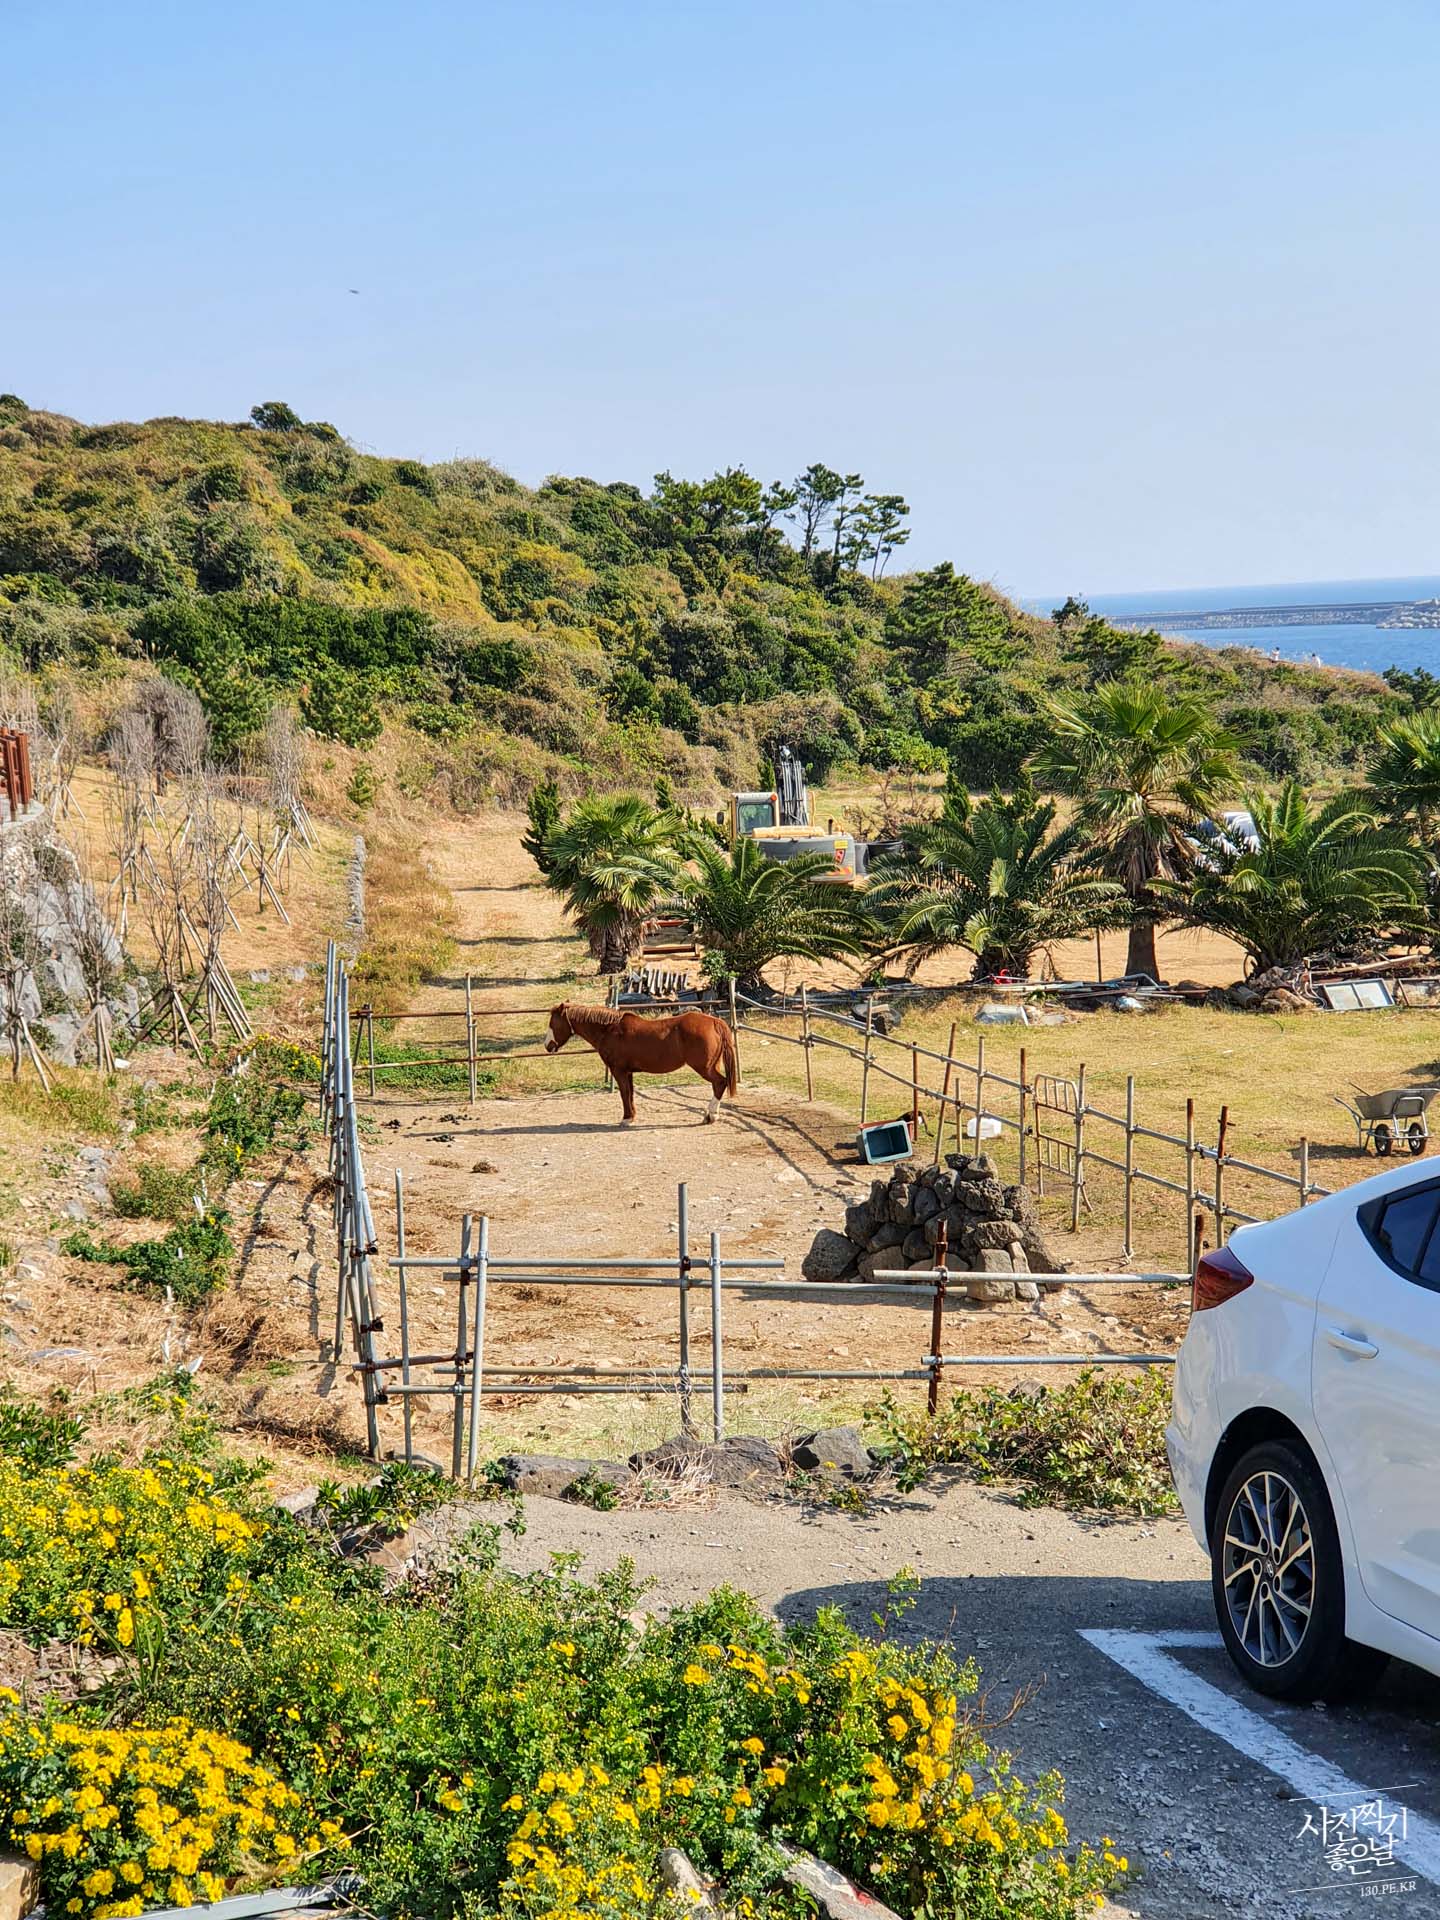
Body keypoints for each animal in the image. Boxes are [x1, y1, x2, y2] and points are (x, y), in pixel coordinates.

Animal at [545, 1002, 739, 1126]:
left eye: (553, 1023)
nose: (548, 1045)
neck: (609, 1030)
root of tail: (714, 1021)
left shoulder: (619, 1070)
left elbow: (624, 1093)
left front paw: (626, 1119)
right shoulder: (628, 1072)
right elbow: (630, 1093)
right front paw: (631, 1116)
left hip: (704, 1068)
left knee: (720, 1083)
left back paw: (711, 1116)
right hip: (712, 1065)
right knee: (717, 1085)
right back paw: (710, 1115)